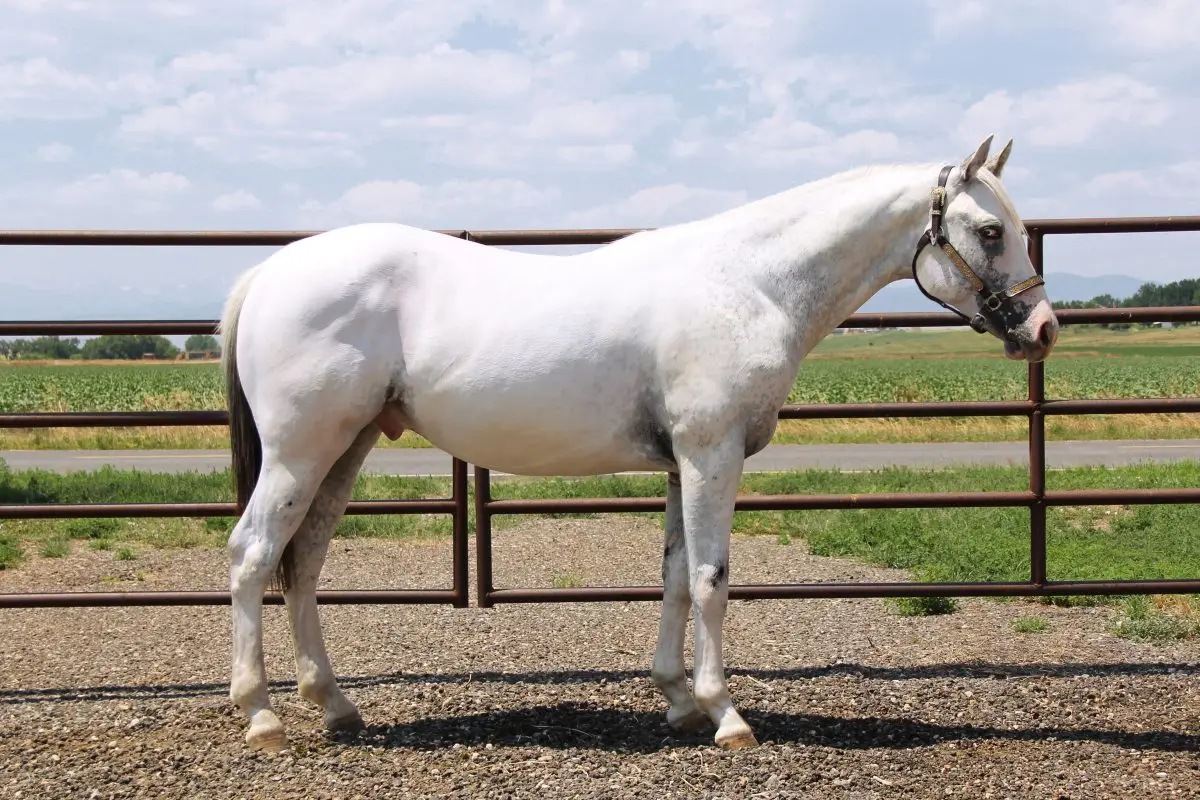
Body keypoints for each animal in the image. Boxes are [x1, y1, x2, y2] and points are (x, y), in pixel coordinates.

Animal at [217, 135, 1058, 753]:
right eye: (991, 232)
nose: (1044, 330)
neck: (748, 282)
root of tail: (269, 271)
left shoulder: (684, 464)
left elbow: (677, 577)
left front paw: (679, 700)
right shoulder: (712, 454)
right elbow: (714, 578)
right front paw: (728, 716)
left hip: (346, 448)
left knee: (303, 562)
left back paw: (334, 705)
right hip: (301, 453)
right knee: (254, 556)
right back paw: (261, 716)